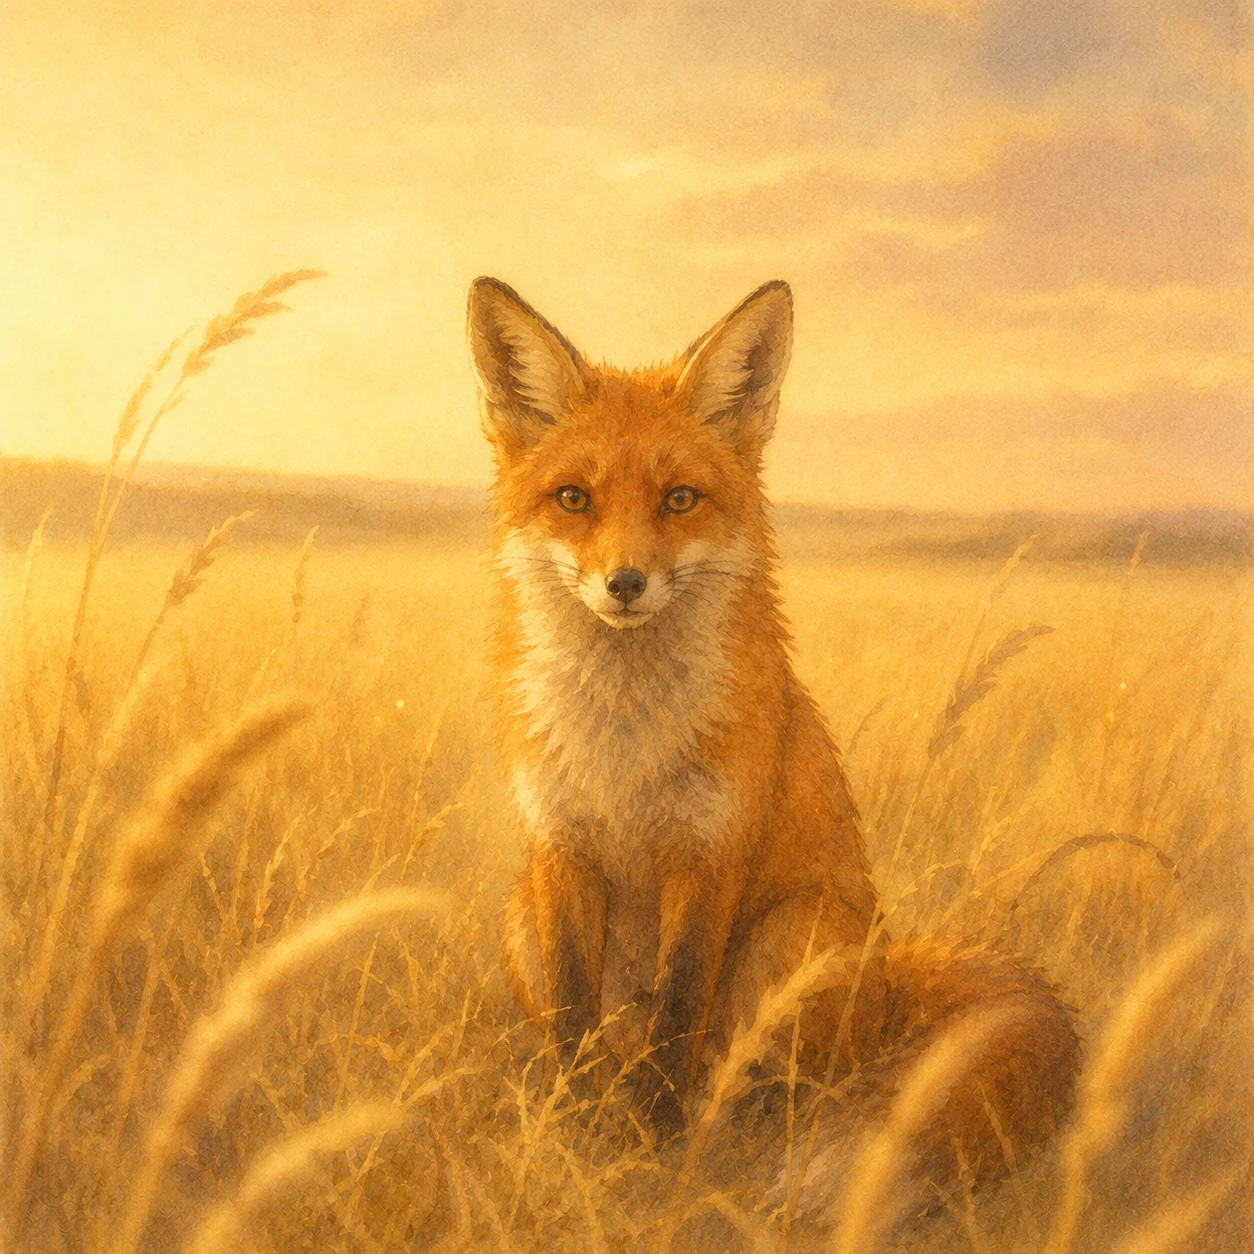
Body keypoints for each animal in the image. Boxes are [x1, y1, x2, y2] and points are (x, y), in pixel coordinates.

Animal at [467, 275, 1079, 1194]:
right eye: (573, 499)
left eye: (679, 499)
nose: (625, 583)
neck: (626, 743)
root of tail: (890, 991)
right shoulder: (560, 848)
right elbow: (575, 1025)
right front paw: (575, 1144)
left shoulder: (711, 853)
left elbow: (681, 1014)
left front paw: (655, 1153)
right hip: (517, 911)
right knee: (615, 1049)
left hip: (795, 935)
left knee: (757, 1078)